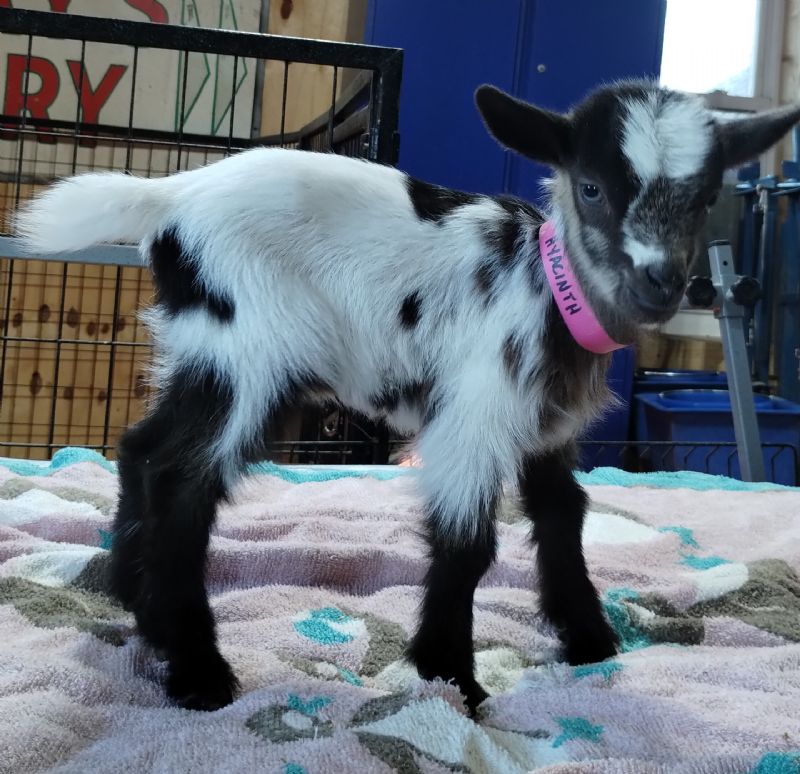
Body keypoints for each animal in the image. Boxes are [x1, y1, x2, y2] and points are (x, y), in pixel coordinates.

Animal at [16, 81, 800, 716]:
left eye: (706, 199)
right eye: (592, 188)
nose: (660, 284)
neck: (547, 285)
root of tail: (168, 200)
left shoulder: (544, 427)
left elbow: (563, 515)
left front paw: (589, 640)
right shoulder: (474, 413)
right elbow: (467, 543)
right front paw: (450, 676)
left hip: (206, 349)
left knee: (140, 449)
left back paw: (135, 603)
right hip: (252, 347)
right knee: (182, 477)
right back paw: (199, 672)